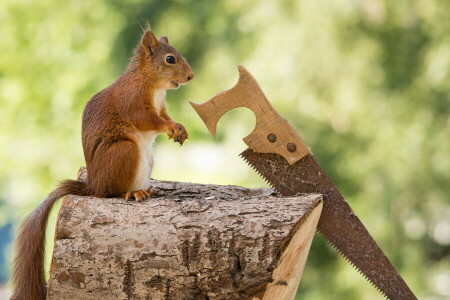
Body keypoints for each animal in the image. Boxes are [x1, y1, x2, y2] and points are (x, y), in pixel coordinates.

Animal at [11, 28, 193, 300]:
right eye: (170, 59)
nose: (190, 76)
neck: (150, 83)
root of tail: (93, 186)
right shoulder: (133, 101)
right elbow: (148, 119)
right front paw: (171, 127)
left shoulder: (161, 106)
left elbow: (165, 116)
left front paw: (179, 128)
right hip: (124, 151)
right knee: (111, 192)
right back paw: (133, 193)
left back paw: (147, 190)